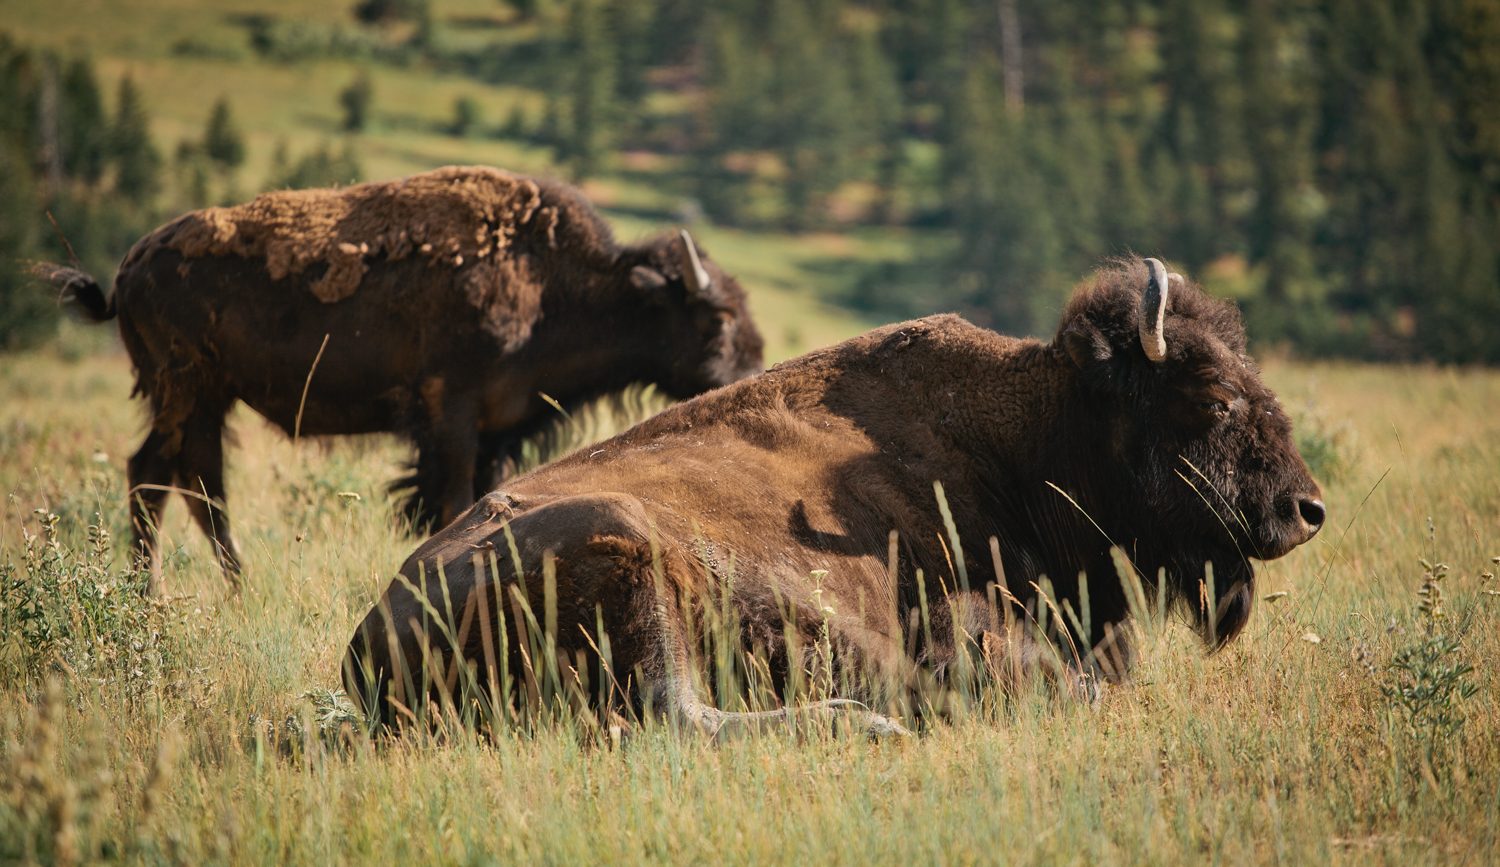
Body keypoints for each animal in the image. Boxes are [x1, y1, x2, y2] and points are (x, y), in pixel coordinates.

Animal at [37, 166, 763, 592]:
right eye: (718, 318)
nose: (752, 373)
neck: (550, 283)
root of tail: (129, 267)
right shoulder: (452, 412)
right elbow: (452, 497)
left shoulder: (496, 428)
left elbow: (486, 494)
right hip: (185, 390)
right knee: (161, 476)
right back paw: (164, 590)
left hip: (206, 398)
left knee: (190, 480)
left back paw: (222, 585)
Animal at [343, 258, 1324, 736]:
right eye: (1214, 397)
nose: (1307, 510)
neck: (1024, 430)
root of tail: (367, 638)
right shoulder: (968, 630)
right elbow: (1064, 686)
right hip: (629, 550)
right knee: (673, 713)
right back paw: (870, 721)